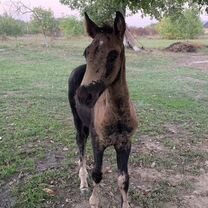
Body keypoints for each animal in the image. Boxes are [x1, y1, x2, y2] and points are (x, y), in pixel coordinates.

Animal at [68, 11, 138, 208]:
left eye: (113, 55)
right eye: (86, 52)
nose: (83, 96)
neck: (117, 114)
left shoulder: (125, 143)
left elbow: (124, 179)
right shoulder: (97, 141)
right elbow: (97, 174)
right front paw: (93, 199)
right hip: (79, 123)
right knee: (80, 146)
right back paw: (83, 184)